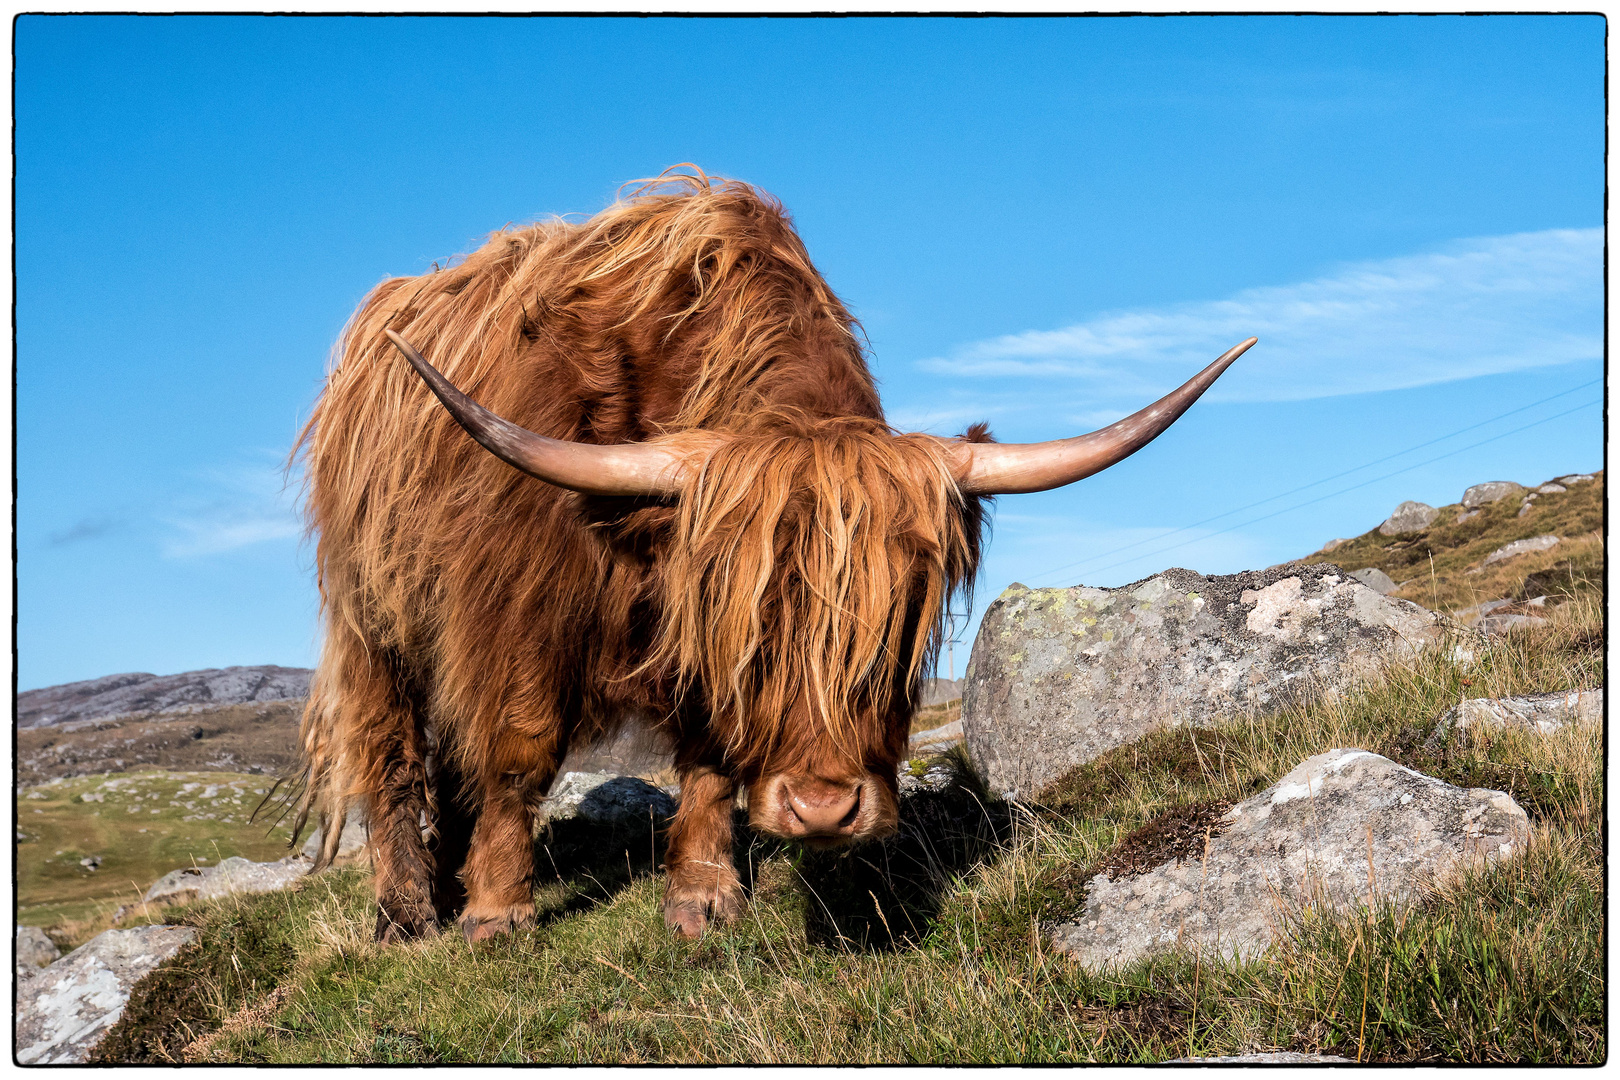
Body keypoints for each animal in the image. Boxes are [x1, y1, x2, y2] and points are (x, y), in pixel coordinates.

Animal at [294, 165, 1250, 939]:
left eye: (897, 620)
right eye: (758, 619)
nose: (824, 810)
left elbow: (710, 753)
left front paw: (704, 895)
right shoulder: (517, 601)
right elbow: (516, 748)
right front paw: (497, 911)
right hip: (372, 617)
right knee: (394, 754)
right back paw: (409, 911)